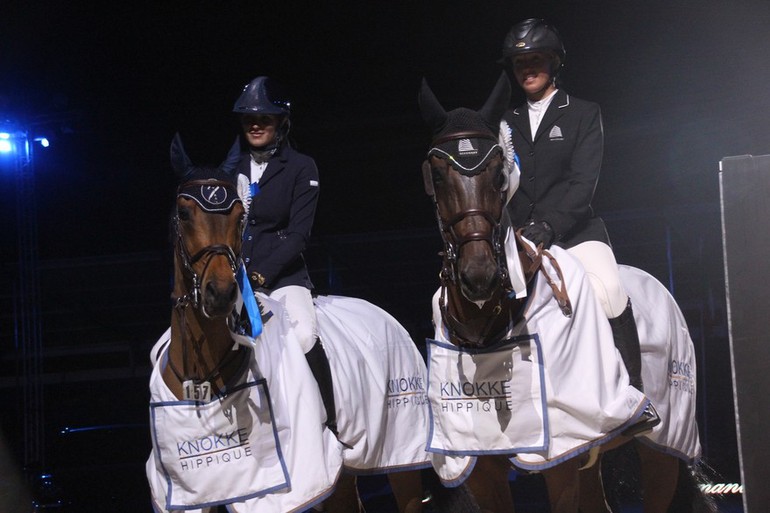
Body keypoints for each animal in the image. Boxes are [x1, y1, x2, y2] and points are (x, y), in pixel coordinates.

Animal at [145, 135, 428, 512]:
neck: (204, 374)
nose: (220, 293)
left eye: (240, 217)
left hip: (400, 448)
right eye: (184, 213)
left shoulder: (284, 487)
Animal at [416, 73, 700, 512]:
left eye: (498, 174)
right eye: (438, 176)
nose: (479, 276)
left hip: (662, 446)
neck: (487, 331)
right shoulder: (480, 467)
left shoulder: (560, 454)